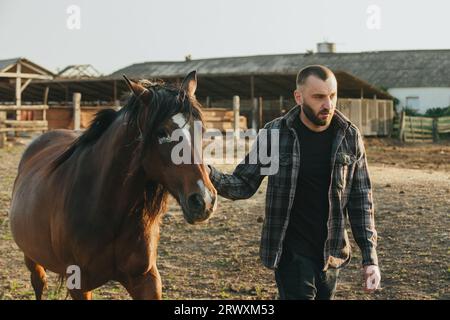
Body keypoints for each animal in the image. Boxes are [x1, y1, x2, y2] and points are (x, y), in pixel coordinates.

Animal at [8, 70, 216, 300]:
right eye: (161, 132)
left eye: (201, 131)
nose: (204, 200)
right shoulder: (79, 284)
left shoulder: (146, 278)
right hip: (31, 257)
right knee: (39, 283)